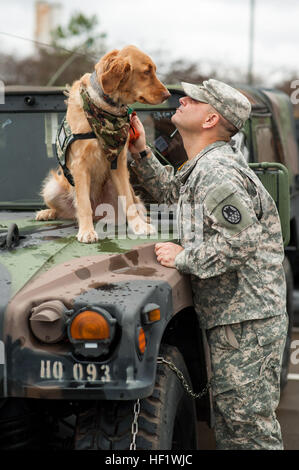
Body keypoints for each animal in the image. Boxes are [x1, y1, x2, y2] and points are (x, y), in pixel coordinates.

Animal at [35, 45, 169, 242]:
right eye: (146, 71)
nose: (168, 94)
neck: (105, 109)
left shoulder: (119, 162)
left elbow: (128, 201)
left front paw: (138, 226)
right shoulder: (79, 164)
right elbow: (83, 203)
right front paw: (86, 231)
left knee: (134, 202)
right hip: (52, 188)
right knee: (67, 211)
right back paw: (47, 213)